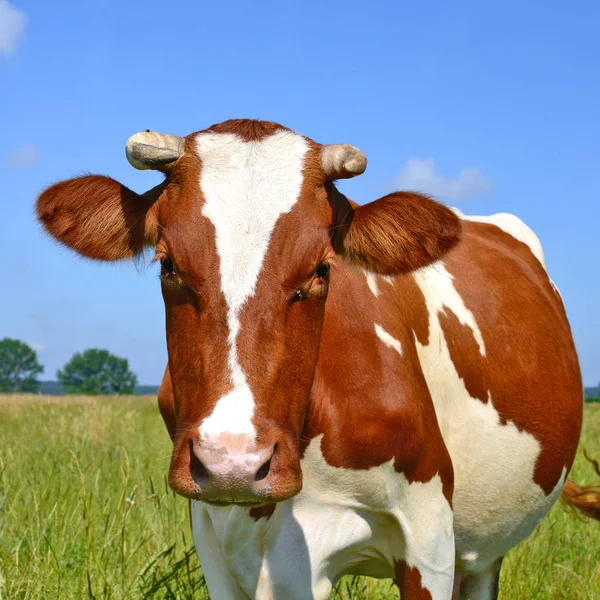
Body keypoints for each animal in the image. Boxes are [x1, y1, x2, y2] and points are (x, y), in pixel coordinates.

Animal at [37, 119, 600, 596]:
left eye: (321, 269)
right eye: (168, 263)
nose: (234, 464)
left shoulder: (430, 539)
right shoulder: (217, 538)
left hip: (482, 548)